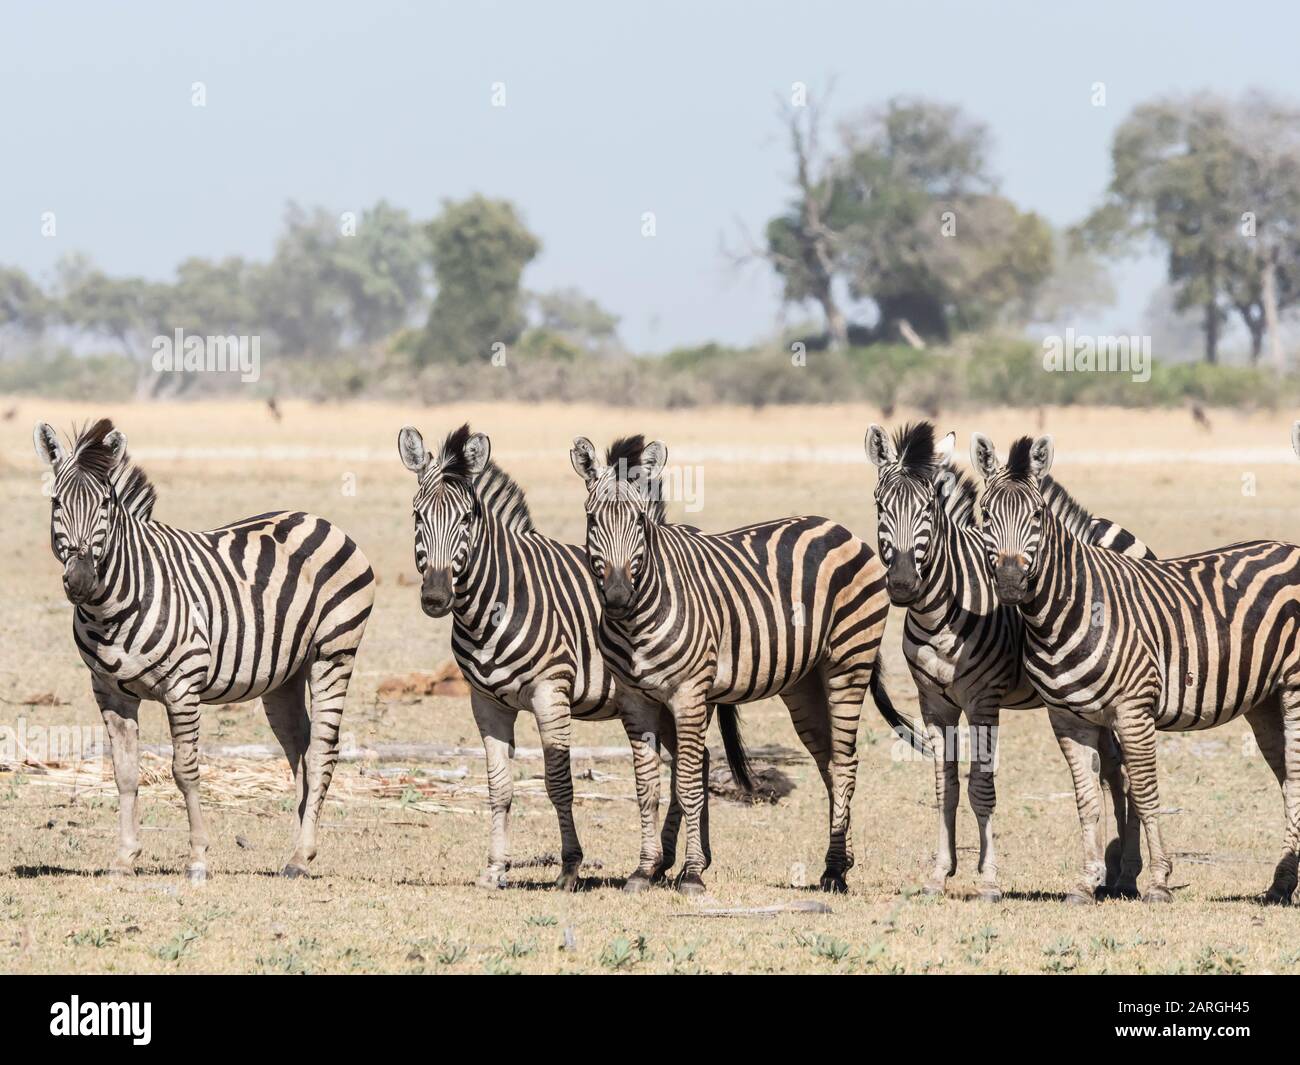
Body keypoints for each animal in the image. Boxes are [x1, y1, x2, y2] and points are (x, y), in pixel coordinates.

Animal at [31, 421, 377, 879]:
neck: (109, 608)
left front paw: (198, 857)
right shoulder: (109, 692)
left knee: (322, 749)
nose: (82, 580)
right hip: (285, 674)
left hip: (333, 654)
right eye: (56, 501)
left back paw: (302, 857)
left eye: (106, 503)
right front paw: (125, 857)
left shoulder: (182, 687)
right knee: (299, 749)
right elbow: (124, 773)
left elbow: (185, 770)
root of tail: (318, 519)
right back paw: (297, 848)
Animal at [395, 423, 743, 889]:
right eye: (417, 516)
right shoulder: (485, 703)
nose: (435, 597)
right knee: (692, 765)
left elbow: (558, 782)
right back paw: (674, 861)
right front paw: (495, 869)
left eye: (467, 518)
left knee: (692, 766)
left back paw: (687, 863)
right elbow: (499, 787)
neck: (494, 603)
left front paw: (570, 866)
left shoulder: (550, 693)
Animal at [574, 431, 930, 889]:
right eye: (592, 521)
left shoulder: (690, 694)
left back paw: (835, 872)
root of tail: (839, 528)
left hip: (849, 661)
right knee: (830, 763)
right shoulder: (634, 700)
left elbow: (688, 781)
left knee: (847, 760)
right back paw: (838, 862)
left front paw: (692, 873)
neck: (639, 616)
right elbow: (646, 786)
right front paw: (644, 869)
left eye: (638, 522)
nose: (618, 596)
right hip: (804, 682)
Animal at [863, 421, 1149, 905]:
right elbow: (944, 788)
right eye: (881, 507)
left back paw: (1127, 876)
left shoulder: (983, 700)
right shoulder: (932, 703)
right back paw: (1112, 875)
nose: (901, 584)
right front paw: (939, 875)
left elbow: (981, 788)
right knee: (1113, 772)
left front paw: (989, 880)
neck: (939, 614)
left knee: (1124, 774)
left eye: (928, 509)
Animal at [977, 429, 1300, 905]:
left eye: (1037, 515)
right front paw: (1085, 883)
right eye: (985, 515)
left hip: (1294, 689)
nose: (1011, 584)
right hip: (1264, 699)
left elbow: (1145, 794)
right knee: (1287, 778)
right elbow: (1087, 800)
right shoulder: (1066, 719)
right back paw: (1281, 884)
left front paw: (1159, 882)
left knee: (1294, 773)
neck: (1067, 610)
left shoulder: (1133, 710)